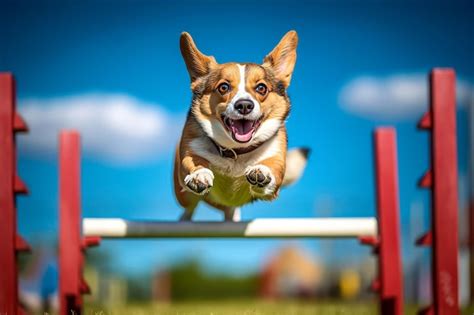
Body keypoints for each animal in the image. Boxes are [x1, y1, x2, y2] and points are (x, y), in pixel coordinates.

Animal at [172, 30, 310, 221]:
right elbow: (195, 162)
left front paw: (261, 171)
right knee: (190, 206)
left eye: (261, 88)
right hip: (184, 196)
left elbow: (271, 168)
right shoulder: (190, 150)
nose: (244, 105)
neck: (236, 151)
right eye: (223, 87)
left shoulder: (276, 164)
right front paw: (198, 174)